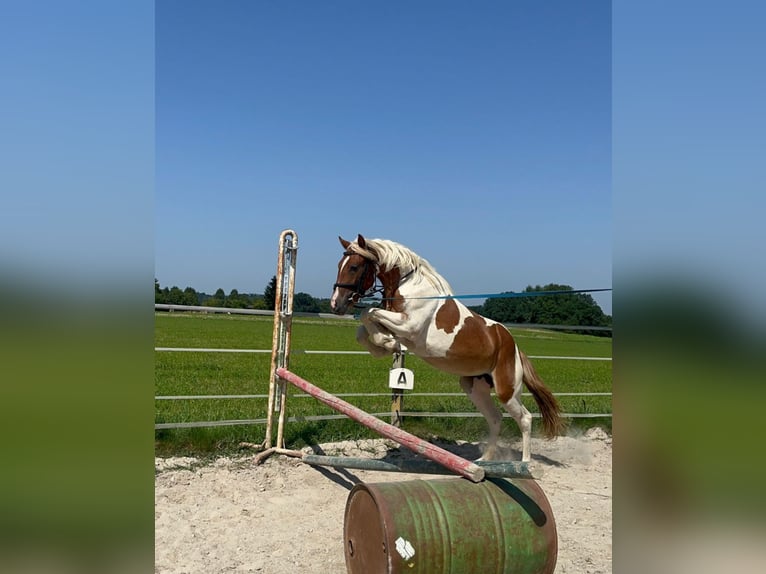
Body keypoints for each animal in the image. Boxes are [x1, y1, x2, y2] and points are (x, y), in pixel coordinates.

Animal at [329, 234, 565, 462]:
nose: (335, 305)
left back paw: (524, 464)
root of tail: (514, 347)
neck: (408, 287)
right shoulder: (397, 326)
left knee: (524, 418)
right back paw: (484, 460)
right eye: (339, 264)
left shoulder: (408, 325)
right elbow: (363, 328)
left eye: (354, 267)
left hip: (507, 390)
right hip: (474, 387)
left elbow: (366, 312)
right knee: (495, 418)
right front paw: (385, 345)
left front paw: (386, 342)